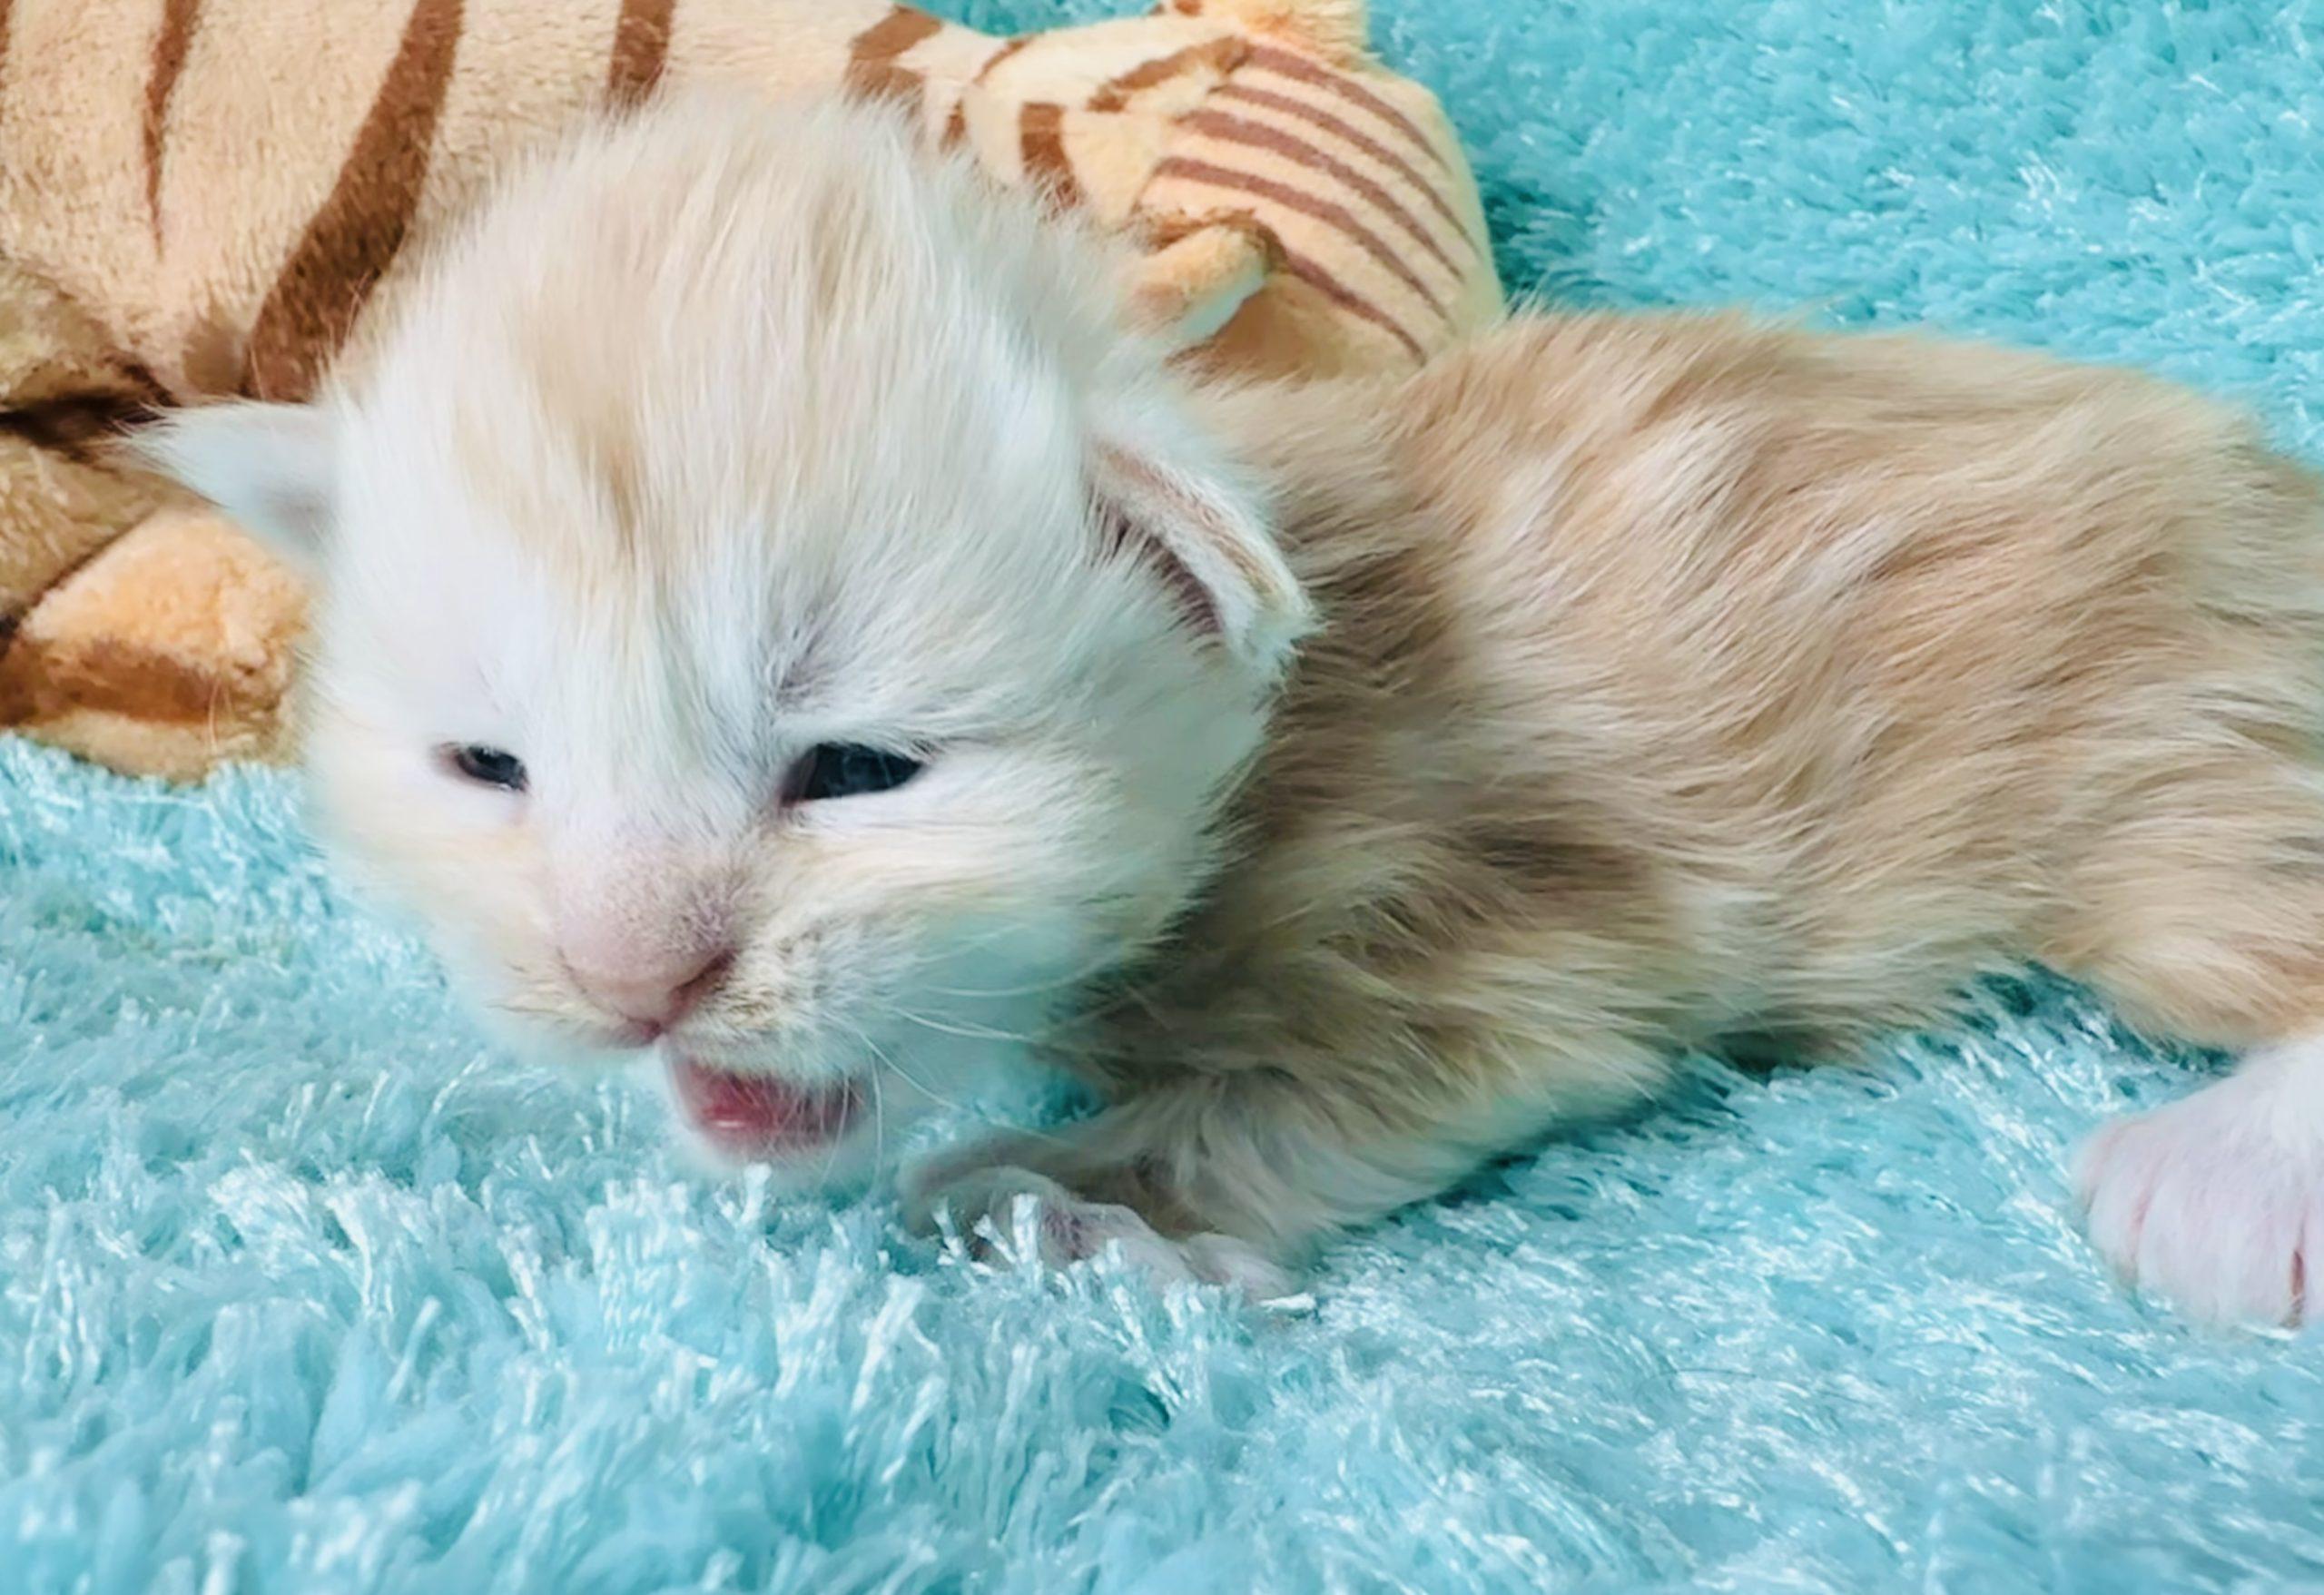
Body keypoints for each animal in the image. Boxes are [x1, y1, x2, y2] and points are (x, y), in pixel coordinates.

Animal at [145, 89, 2324, 1326]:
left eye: (856, 769)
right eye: (489, 767)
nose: (633, 981)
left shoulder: (1517, 921)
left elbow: (1321, 1085)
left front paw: (1080, 1203)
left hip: (2159, 720)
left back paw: (2221, 1182)